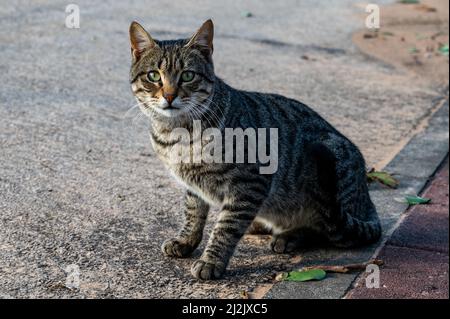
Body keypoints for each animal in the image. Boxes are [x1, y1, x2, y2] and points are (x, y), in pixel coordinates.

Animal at [128, 19, 382, 280]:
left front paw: (211, 260)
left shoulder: (250, 182)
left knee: (327, 227)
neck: (175, 133)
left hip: (331, 166)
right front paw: (186, 241)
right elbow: (193, 214)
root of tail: (369, 202)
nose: (169, 95)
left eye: (188, 75)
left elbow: (225, 228)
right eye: (153, 76)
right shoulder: (194, 187)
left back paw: (289, 236)